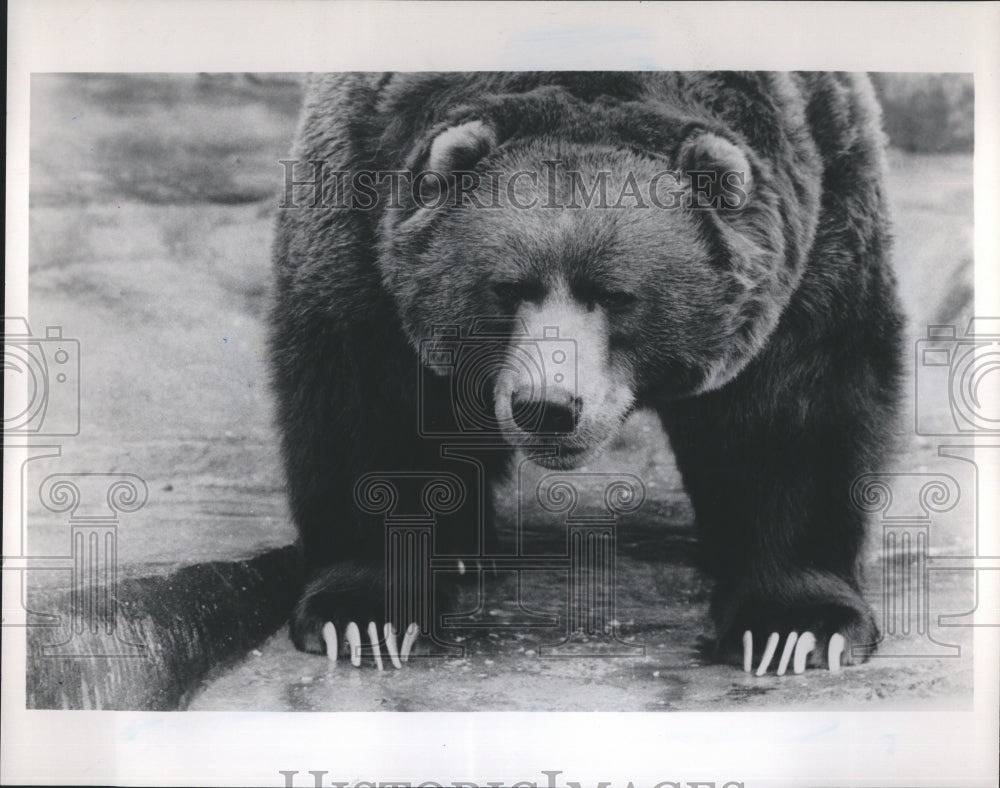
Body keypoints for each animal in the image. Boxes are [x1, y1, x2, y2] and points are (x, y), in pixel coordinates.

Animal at [270, 74, 904, 676]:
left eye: (617, 295)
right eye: (509, 288)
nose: (547, 406)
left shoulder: (821, 198)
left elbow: (795, 407)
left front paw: (796, 628)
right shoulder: (361, 197)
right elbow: (370, 401)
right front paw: (363, 613)